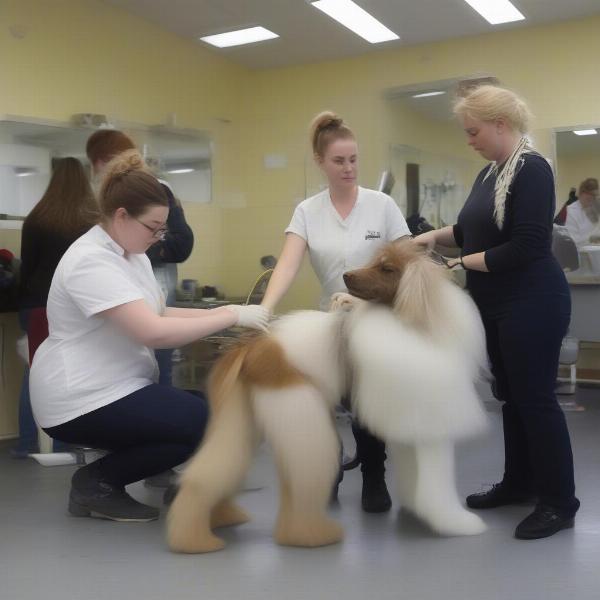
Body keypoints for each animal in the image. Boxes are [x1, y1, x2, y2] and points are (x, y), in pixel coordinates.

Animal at [166, 239, 490, 552]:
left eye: (386, 269)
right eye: (376, 262)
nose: (347, 276)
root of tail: (253, 346)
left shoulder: (414, 430)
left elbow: (418, 476)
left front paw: (417, 510)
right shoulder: (431, 428)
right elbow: (437, 483)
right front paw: (456, 523)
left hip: (242, 418)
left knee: (207, 474)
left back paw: (206, 529)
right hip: (301, 414)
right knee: (301, 482)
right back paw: (311, 535)